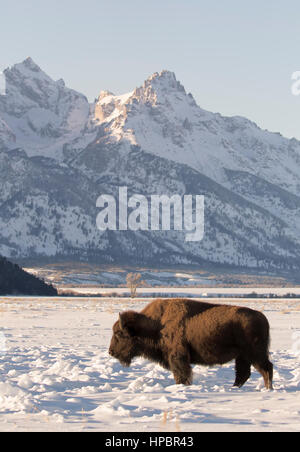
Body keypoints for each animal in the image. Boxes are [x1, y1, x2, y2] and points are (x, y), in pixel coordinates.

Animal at [109, 298, 274, 390]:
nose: (111, 352)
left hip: (254, 354)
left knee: (266, 369)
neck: (157, 324)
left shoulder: (178, 357)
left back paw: (268, 389)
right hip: (242, 356)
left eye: (119, 333)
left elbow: (182, 375)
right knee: (243, 373)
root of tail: (262, 317)